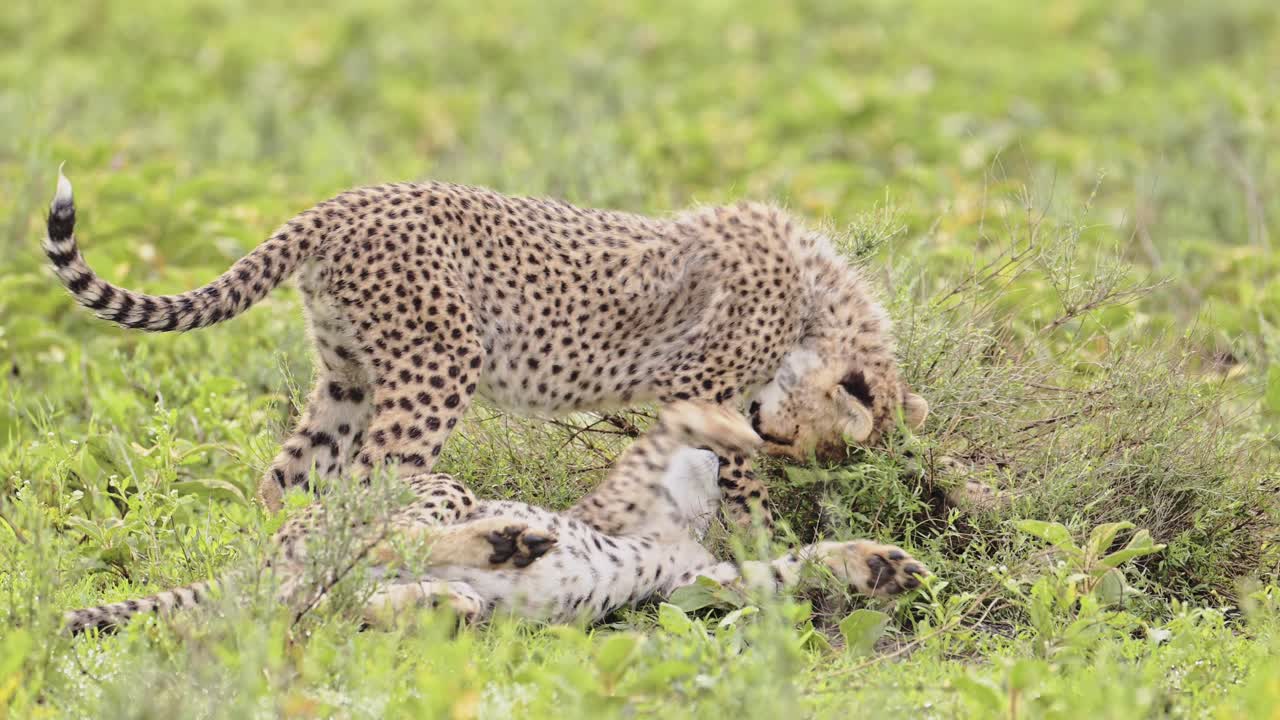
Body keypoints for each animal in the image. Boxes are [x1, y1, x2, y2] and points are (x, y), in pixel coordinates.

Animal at [43, 168, 929, 528]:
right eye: (784, 437)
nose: (773, 437)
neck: (820, 296)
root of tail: (345, 201)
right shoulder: (707, 393)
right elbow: (737, 488)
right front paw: (764, 547)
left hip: (350, 378)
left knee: (288, 479)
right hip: (440, 360)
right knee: (370, 480)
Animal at [63, 401, 927, 633]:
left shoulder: (691, 582)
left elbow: (779, 571)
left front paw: (875, 566)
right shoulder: (617, 506)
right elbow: (663, 431)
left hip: (331, 586)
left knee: (317, 603)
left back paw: (444, 601)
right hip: (431, 485)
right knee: (379, 545)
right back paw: (499, 542)